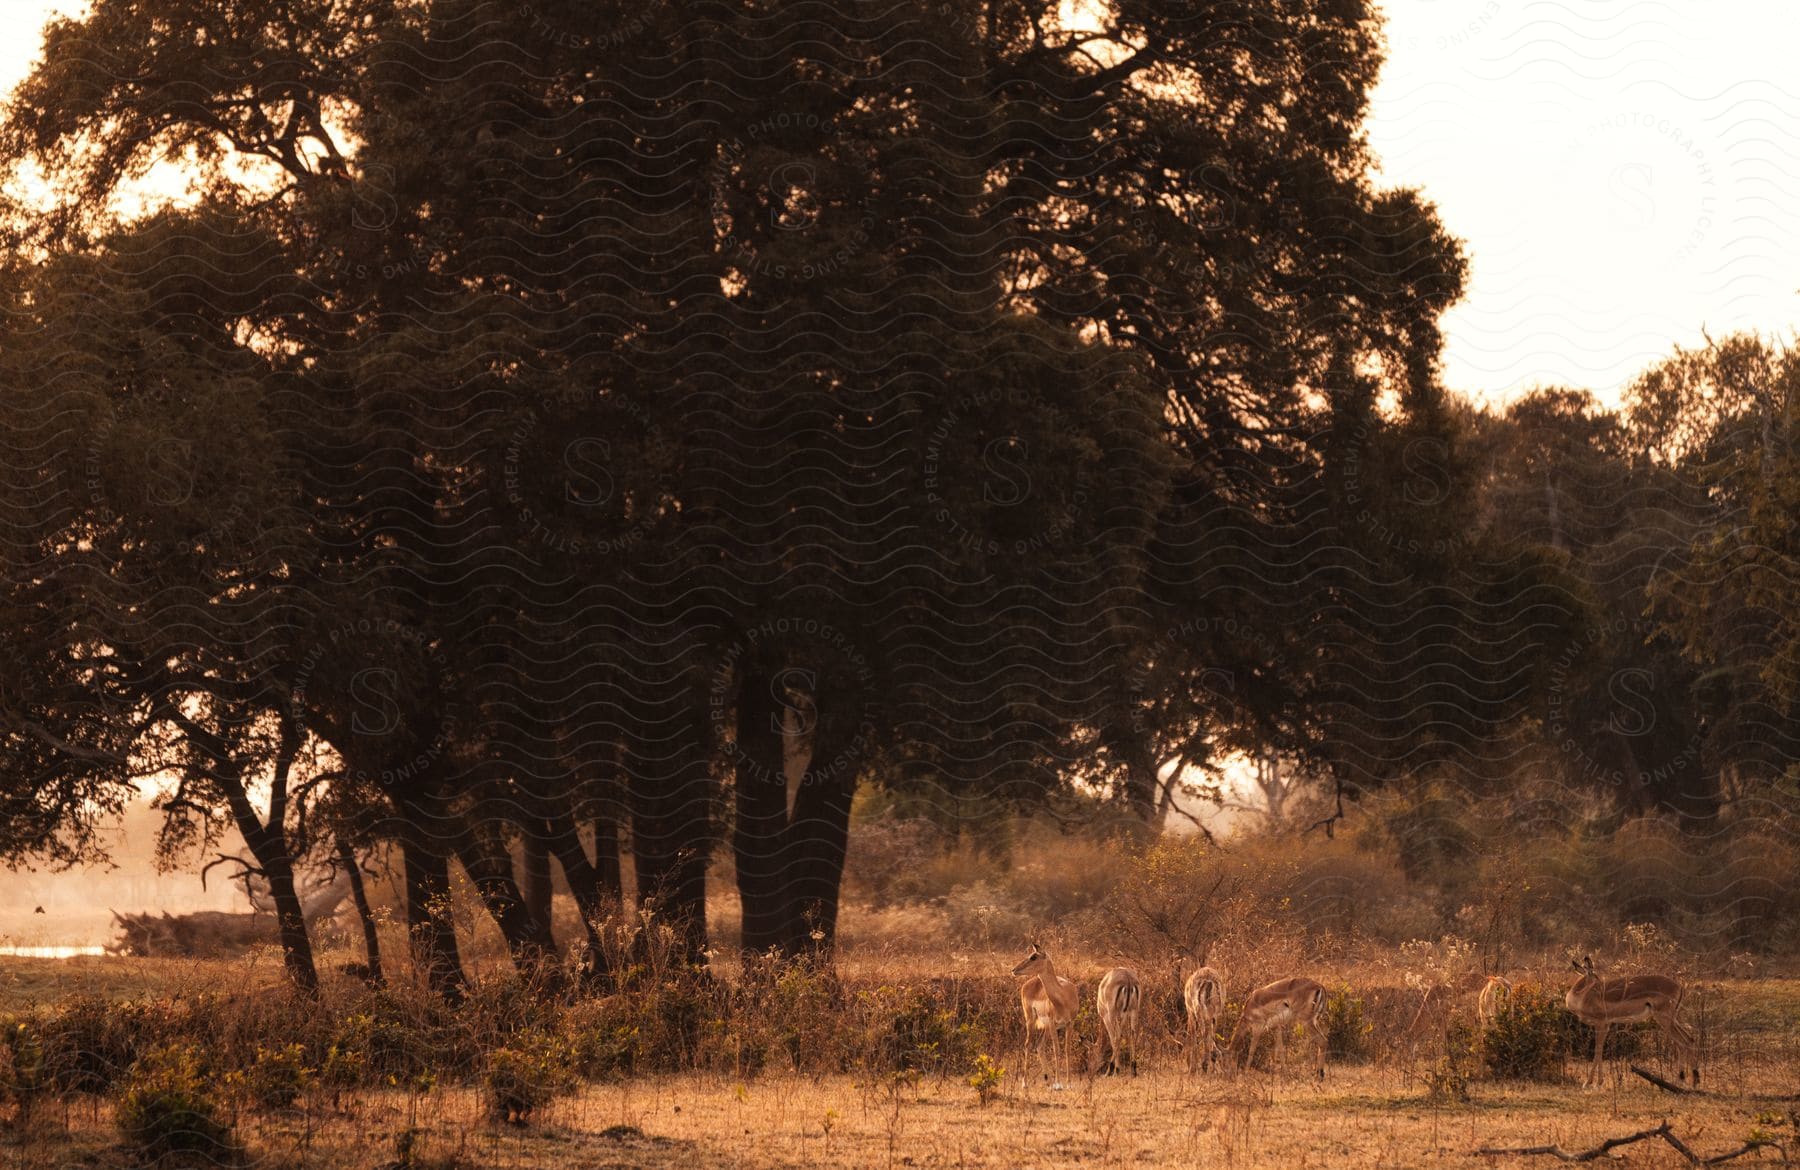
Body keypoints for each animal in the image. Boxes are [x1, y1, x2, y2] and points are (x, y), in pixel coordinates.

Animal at [1008, 936, 1072, 1087]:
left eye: (1034, 956)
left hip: (1046, 1027)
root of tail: (1028, 983)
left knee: (1039, 1046)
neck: (1063, 998)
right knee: (1028, 1044)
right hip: (1031, 1020)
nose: (1013, 970)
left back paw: (1048, 1081)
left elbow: (1067, 1050)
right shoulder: (1054, 1024)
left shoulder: (1069, 1024)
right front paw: (1059, 1084)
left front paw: (1068, 1083)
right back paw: (1025, 1083)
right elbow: (1056, 1050)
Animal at [1562, 950, 1699, 1087]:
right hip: (1672, 1019)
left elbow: (1598, 1050)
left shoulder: (1600, 1023)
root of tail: (1680, 986)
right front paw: (1596, 1081)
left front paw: (1591, 1082)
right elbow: (1599, 1050)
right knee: (1688, 1040)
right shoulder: (1606, 1025)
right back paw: (1688, 1080)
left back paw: (1688, 1081)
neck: (1584, 996)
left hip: (1665, 1019)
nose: (1603, 987)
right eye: (1596, 977)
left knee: (1684, 1042)